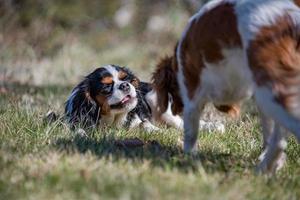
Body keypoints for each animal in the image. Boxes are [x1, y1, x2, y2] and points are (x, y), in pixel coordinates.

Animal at [152, 0, 300, 173]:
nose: (175, 111)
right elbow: (270, 134)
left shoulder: (192, 90)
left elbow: (190, 132)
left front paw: (188, 157)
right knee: (279, 140)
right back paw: (262, 169)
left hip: (271, 92)